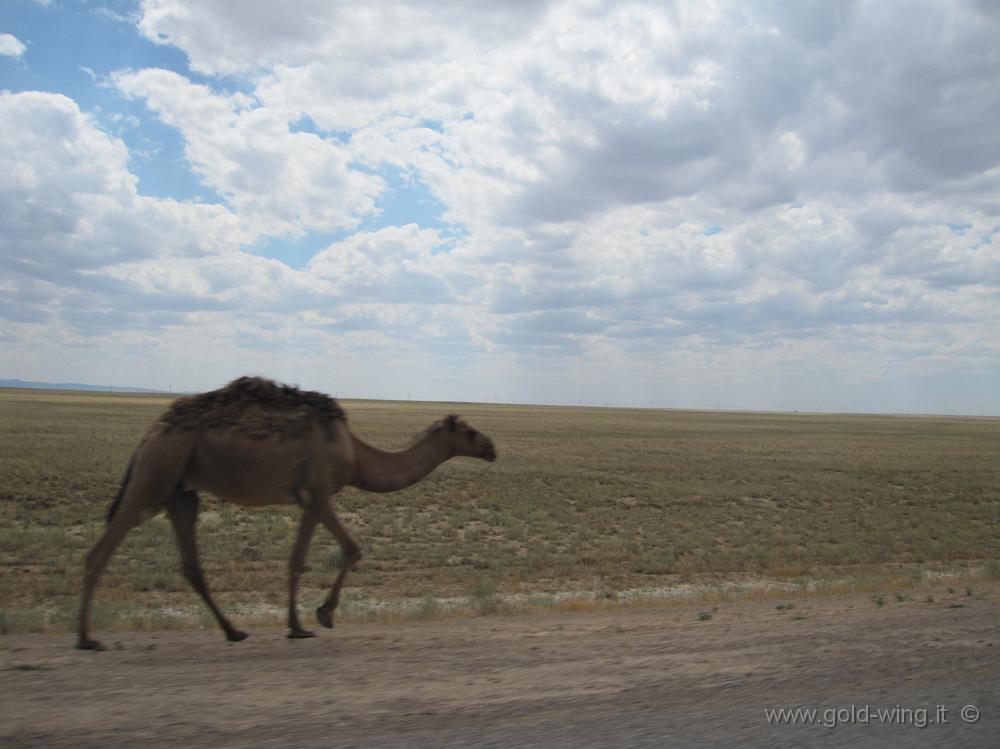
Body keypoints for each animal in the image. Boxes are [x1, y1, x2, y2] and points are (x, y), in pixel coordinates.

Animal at [76, 376, 498, 644]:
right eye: (471, 433)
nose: (492, 448)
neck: (356, 456)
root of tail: (150, 432)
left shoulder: (314, 497)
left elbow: (351, 549)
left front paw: (321, 614)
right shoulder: (318, 492)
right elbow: (302, 559)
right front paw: (304, 623)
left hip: (182, 489)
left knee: (191, 563)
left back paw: (233, 631)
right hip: (157, 472)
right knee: (103, 547)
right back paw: (86, 638)